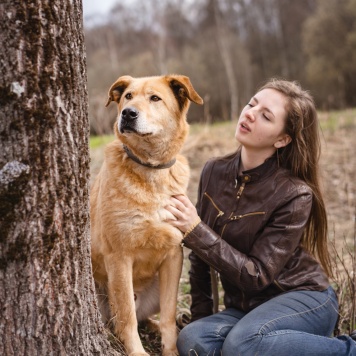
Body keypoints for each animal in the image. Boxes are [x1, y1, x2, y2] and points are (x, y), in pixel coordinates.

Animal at [91, 73, 203, 354]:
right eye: (128, 96)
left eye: (155, 98)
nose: (128, 113)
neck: (151, 169)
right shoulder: (119, 257)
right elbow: (127, 316)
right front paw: (136, 351)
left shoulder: (174, 255)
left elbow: (168, 313)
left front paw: (171, 349)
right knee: (118, 320)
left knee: (146, 316)